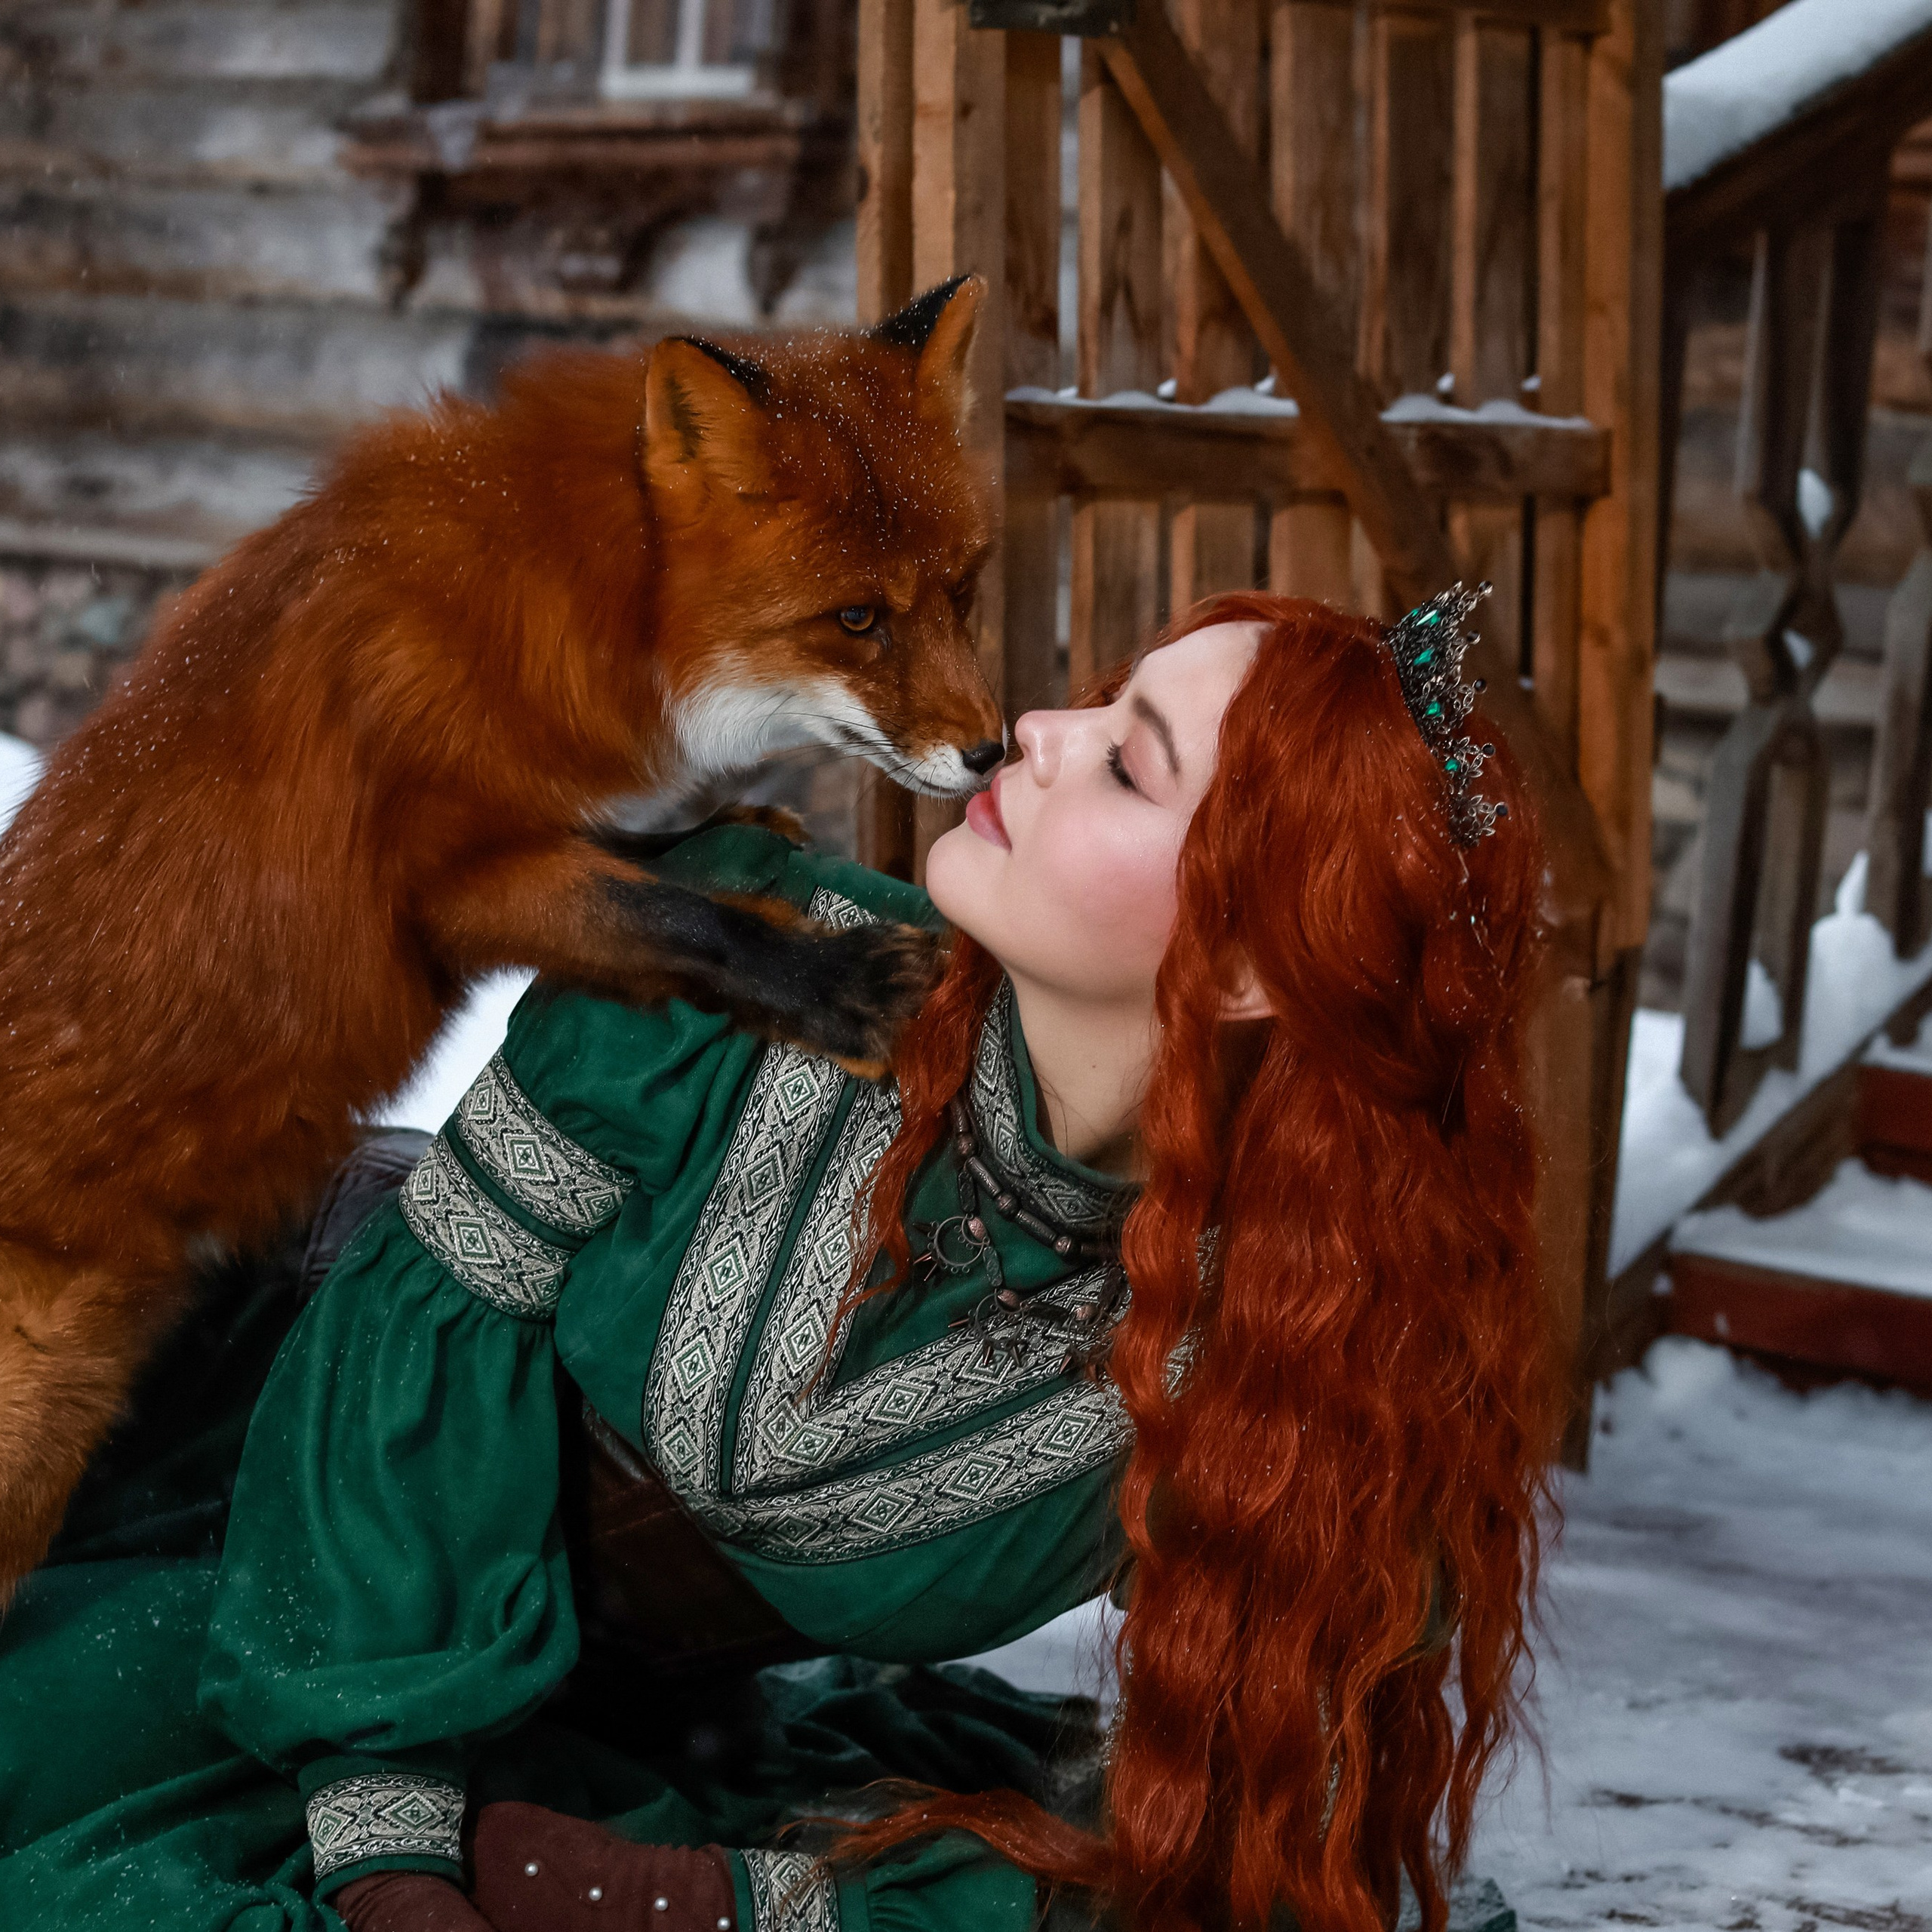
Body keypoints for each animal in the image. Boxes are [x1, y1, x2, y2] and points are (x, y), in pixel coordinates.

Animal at [0, 275, 1004, 1599]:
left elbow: (652, 863)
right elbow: (674, 914)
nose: (995, 750)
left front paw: (733, 832)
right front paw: (838, 982)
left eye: (962, 590)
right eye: (855, 619)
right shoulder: (445, 880)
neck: (579, 587)